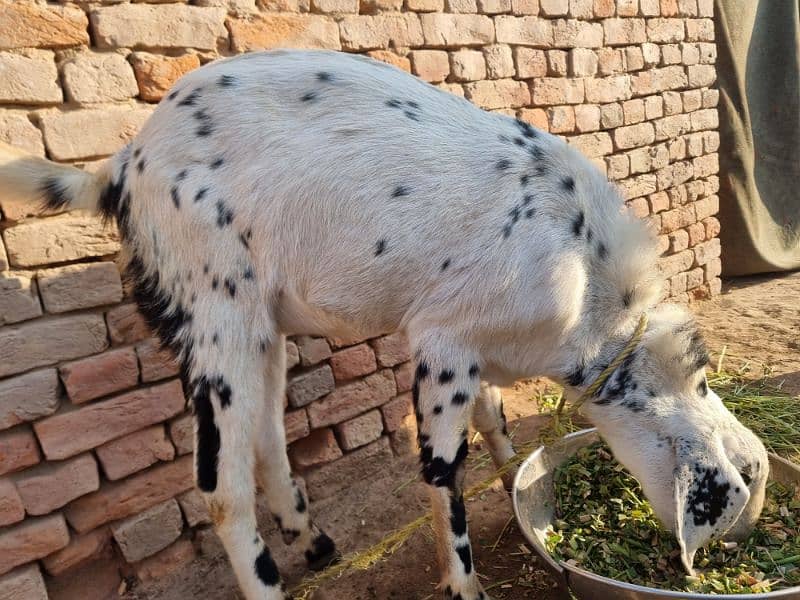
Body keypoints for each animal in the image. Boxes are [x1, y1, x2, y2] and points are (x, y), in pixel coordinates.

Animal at [0, 50, 768, 600]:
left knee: (268, 437)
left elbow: (496, 421)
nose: (746, 540)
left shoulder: (483, 348)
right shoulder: (443, 342)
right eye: (747, 485)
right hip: (215, 309)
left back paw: (315, 542)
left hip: (263, 323)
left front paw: (514, 483)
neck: (588, 281)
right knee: (220, 486)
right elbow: (441, 471)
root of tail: (120, 167)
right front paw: (464, 584)